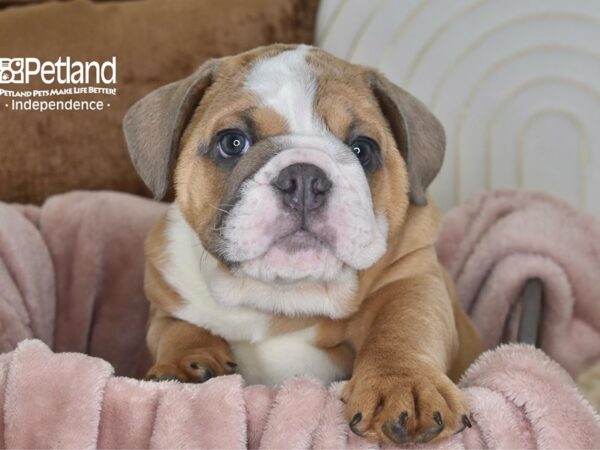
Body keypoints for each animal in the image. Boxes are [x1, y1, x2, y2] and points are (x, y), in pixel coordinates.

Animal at [124, 44, 486, 444]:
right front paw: (188, 363)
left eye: (362, 149)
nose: (303, 177)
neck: (279, 297)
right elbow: (176, 329)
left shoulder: (411, 278)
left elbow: (402, 329)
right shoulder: (167, 298)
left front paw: (404, 385)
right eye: (233, 142)